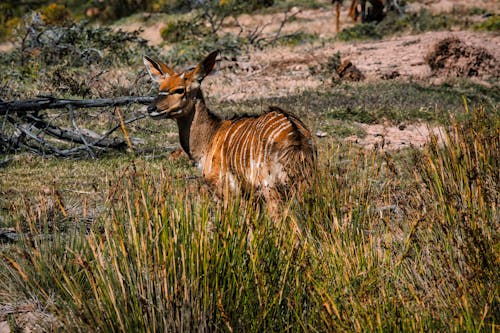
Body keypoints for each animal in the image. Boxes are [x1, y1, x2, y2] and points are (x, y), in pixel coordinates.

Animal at [143, 51, 318, 208]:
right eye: (160, 88)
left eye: (180, 90)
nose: (151, 108)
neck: (210, 138)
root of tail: (295, 133)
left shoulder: (225, 190)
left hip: (270, 188)